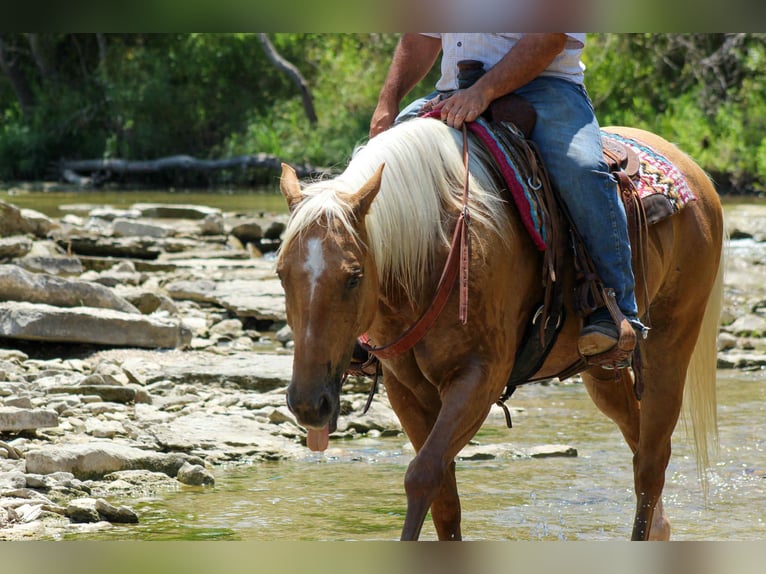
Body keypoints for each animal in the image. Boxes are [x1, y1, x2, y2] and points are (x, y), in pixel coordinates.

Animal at [275, 116, 725, 541]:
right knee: (638, 436)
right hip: (600, 370)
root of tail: (695, 172)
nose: (308, 404)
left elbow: (422, 475)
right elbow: (444, 498)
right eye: (281, 274)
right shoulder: (405, 390)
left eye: (353, 277)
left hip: (672, 340)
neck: (437, 249)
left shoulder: (480, 378)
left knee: (652, 461)